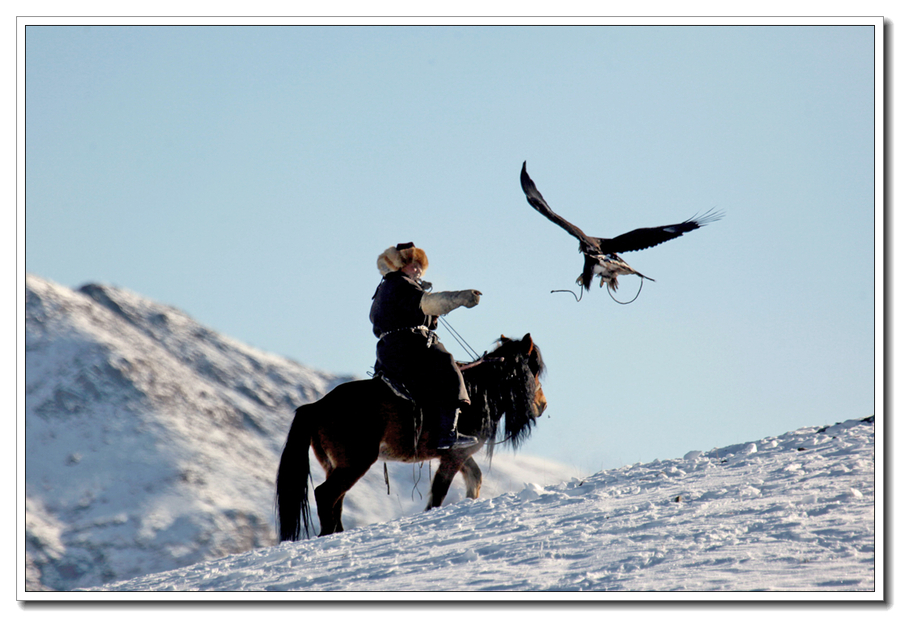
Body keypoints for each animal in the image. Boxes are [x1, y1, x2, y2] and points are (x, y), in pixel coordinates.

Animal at [278, 332, 548, 540]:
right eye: (532, 369)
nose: (542, 405)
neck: (478, 392)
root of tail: (316, 406)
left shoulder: (458, 455)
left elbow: (475, 478)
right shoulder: (454, 456)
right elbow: (439, 493)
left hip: (335, 465)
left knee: (336, 501)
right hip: (354, 463)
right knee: (325, 495)